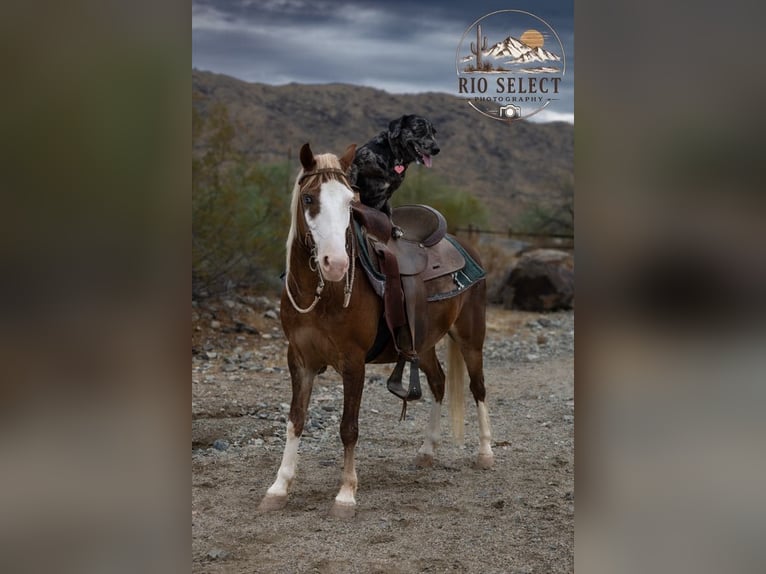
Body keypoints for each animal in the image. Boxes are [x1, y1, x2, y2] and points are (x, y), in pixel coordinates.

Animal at [258, 143, 494, 518]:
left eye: (349, 201)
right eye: (308, 198)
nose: (336, 264)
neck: (322, 294)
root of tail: (465, 245)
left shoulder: (353, 362)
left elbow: (348, 428)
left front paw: (345, 495)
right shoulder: (299, 359)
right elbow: (295, 420)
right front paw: (279, 488)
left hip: (471, 337)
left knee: (478, 387)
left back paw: (486, 453)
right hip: (423, 343)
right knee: (439, 383)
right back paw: (427, 451)